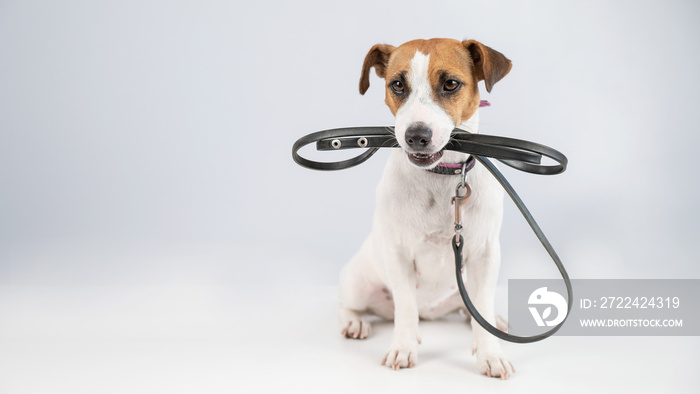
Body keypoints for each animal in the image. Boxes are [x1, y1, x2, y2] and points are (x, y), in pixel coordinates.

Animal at [336, 39, 516, 378]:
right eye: (397, 84)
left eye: (451, 84)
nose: (416, 136)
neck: (441, 176)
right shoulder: (398, 254)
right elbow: (406, 308)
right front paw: (403, 347)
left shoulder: (486, 254)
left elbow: (483, 307)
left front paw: (490, 353)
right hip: (359, 282)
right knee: (347, 304)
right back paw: (354, 321)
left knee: (472, 308)